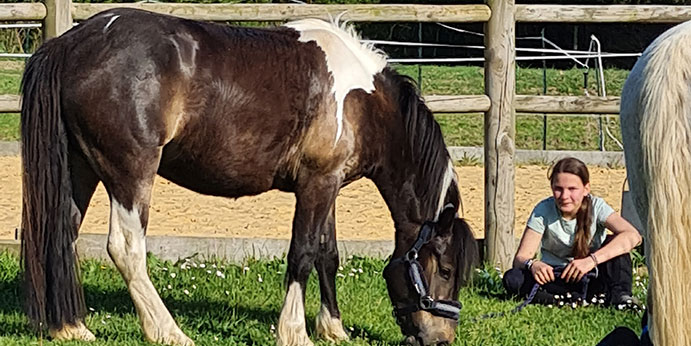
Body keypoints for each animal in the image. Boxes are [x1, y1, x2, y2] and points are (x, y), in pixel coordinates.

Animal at [18, 8, 478, 346]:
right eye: (446, 270)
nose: (442, 339)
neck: (363, 103)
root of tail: (69, 45)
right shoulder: (316, 183)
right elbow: (303, 253)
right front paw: (294, 333)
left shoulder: (327, 184)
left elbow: (328, 254)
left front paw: (333, 329)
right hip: (130, 173)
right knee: (126, 248)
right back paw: (167, 331)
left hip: (80, 167)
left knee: (60, 234)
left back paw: (71, 328)